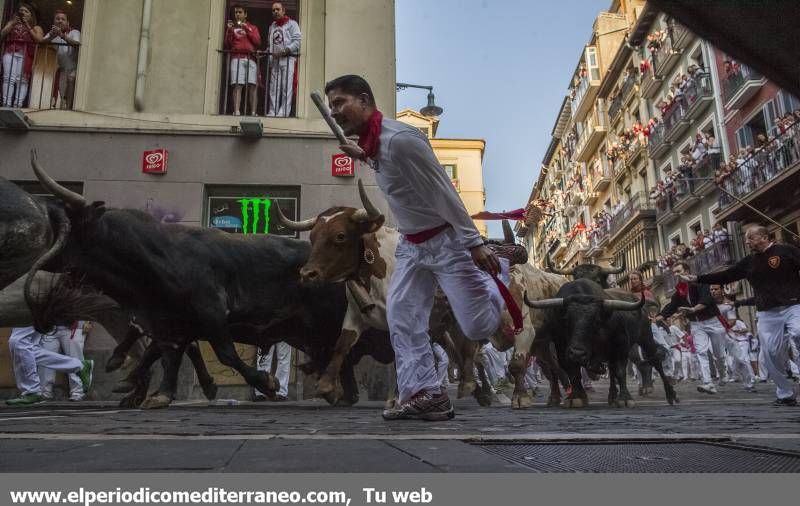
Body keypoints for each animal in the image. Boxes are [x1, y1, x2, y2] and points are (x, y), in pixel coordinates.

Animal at [528, 274, 680, 410]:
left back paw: (671, 395)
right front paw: (576, 397)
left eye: (596, 320)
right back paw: (612, 397)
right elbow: (573, 372)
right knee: (611, 369)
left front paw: (625, 399)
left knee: (655, 360)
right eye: (567, 320)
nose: (578, 353)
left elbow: (620, 371)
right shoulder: (561, 348)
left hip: (645, 336)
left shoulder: (621, 345)